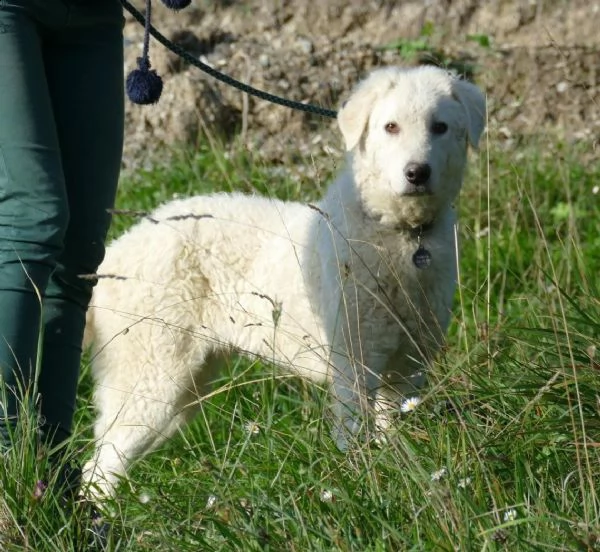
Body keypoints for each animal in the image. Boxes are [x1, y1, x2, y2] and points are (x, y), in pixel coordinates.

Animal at [83, 64, 488, 496]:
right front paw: (362, 489)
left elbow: (394, 438)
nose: (416, 173)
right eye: (390, 127)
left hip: (183, 392)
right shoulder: (353, 366)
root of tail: (113, 255)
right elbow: (355, 441)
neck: (400, 234)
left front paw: (402, 479)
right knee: (98, 469)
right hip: (152, 381)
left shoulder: (408, 370)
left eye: (440, 127)